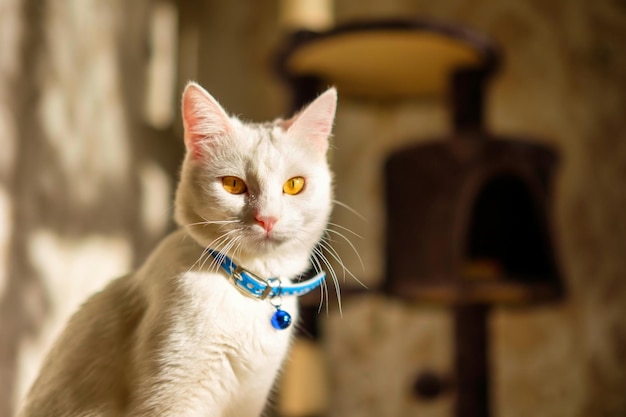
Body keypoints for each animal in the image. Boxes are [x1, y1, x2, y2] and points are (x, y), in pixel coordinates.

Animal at [18, 82, 336, 416]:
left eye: (294, 185)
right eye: (233, 185)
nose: (268, 218)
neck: (245, 288)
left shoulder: (247, 400)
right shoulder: (173, 400)